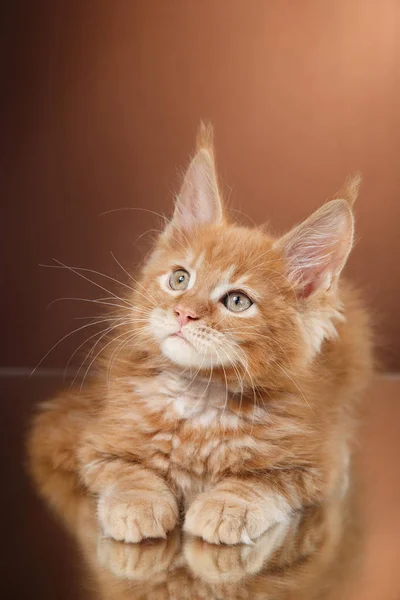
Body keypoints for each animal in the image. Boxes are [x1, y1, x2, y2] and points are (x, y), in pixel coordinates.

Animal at [28, 125, 372, 544]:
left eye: (237, 301)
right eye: (180, 279)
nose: (183, 313)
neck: (197, 399)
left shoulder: (319, 462)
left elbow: (266, 481)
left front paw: (227, 505)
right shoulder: (79, 434)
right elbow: (123, 468)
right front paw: (138, 501)